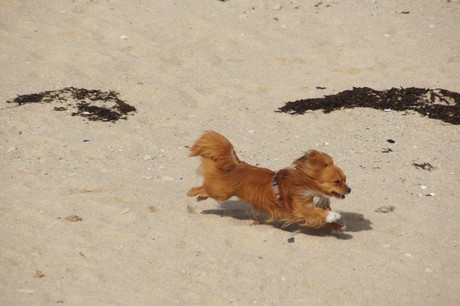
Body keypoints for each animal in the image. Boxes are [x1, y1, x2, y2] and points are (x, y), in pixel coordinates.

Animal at [185, 130, 350, 233]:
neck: (307, 185)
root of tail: (237, 164)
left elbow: (322, 216)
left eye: (345, 180)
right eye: (337, 182)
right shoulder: (300, 209)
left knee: (205, 190)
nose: (349, 190)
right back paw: (192, 193)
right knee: (203, 187)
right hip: (221, 192)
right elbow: (318, 212)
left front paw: (337, 227)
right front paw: (332, 216)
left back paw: (200, 197)